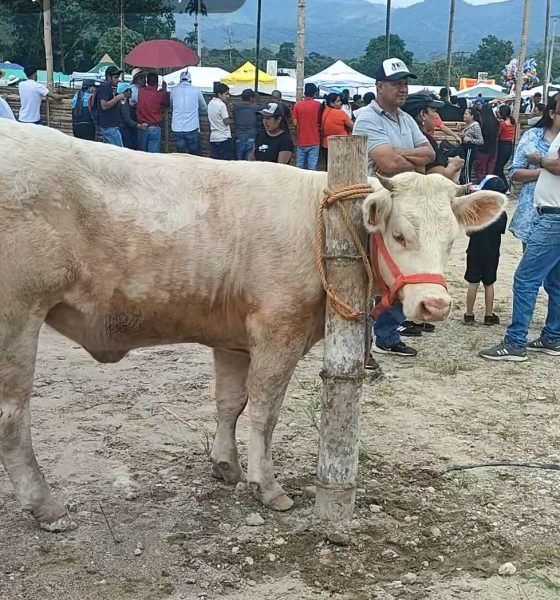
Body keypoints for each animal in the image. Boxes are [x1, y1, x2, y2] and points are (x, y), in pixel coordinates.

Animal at [0, 120, 506, 528]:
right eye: (399, 235)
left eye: (453, 240)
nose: (434, 305)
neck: (319, 219)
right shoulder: (278, 331)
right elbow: (265, 410)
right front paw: (267, 485)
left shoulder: (233, 339)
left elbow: (231, 402)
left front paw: (225, 465)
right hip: (17, 318)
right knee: (13, 416)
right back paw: (46, 507)